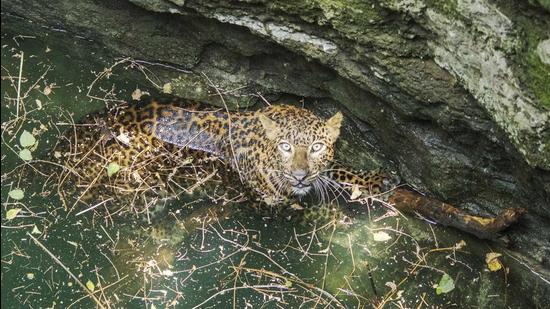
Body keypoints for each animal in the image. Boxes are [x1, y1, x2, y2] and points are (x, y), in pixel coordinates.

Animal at [55, 96, 528, 238]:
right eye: (284, 148)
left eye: (316, 147)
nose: (299, 173)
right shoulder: (271, 197)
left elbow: (337, 172)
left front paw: (372, 178)